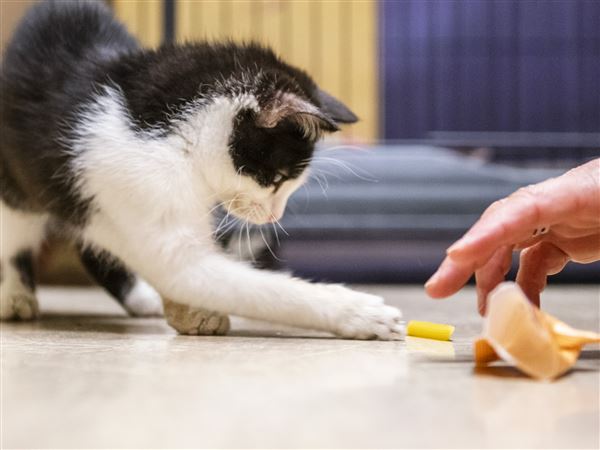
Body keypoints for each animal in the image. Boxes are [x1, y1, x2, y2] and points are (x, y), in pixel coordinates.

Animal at [2, 0, 404, 338]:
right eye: (276, 179)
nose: (274, 217)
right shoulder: (143, 184)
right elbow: (227, 282)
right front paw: (359, 311)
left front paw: (193, 312)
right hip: (19, 188)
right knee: (16, 233)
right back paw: (14, 294)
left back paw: (143, 298)